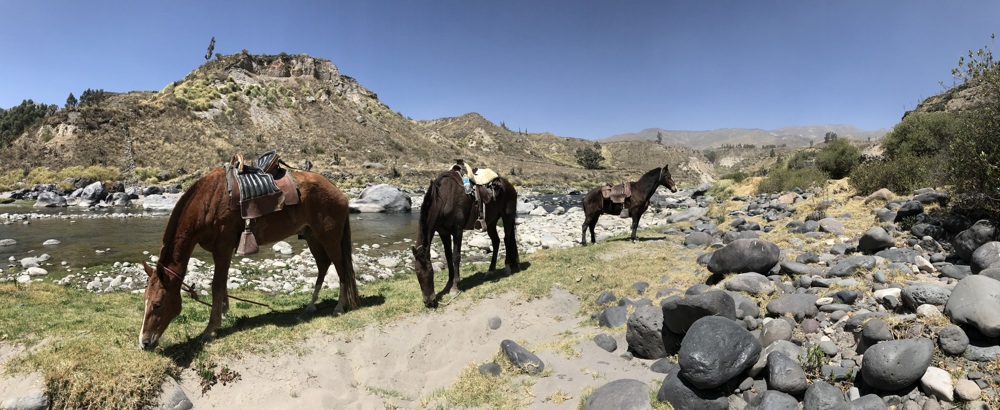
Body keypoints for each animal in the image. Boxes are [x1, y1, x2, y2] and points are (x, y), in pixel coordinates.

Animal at [138, 167, 360, 350]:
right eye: (144, 301)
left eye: (157, 304)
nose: (144, 343)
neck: (208, 202)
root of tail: (339, 192)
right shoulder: (221, 251)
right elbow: (222, 283)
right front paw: (223, 313)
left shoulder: (223, 248)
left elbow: (217, 285)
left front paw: (210, 329)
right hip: (312, 237)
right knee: (323, 266)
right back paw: (311, 306)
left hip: (330, 239)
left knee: (341, 268)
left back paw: (339, 307)